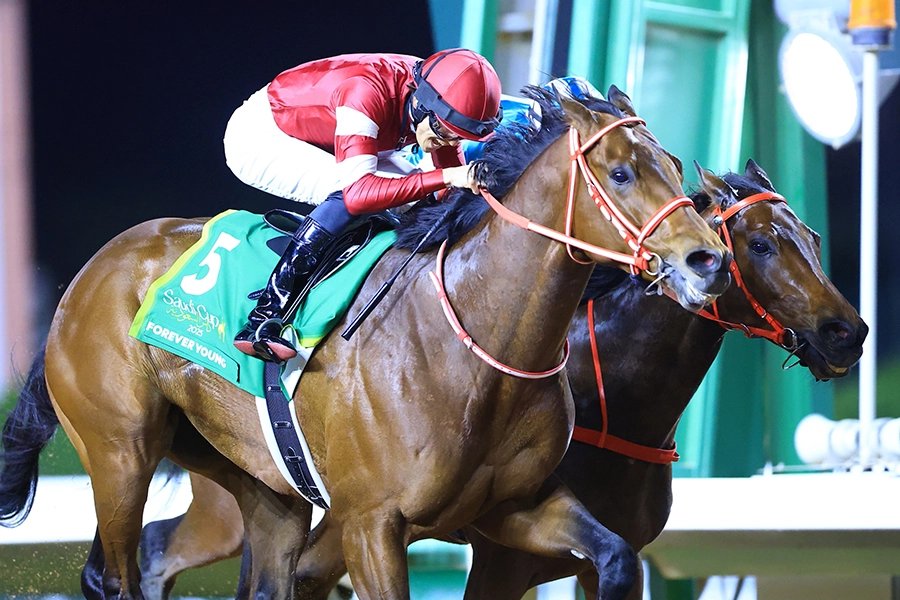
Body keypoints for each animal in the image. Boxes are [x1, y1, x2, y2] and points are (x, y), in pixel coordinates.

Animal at [0, 86, 732, 599]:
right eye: (621, 173)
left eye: (674, 168)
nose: (708, 260)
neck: (479, 347)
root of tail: (93, 271)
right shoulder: (374, 524)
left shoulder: (514, 508)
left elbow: (615, 558)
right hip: (120, 451)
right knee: (114, 573)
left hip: (261, 485)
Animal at [132, 158, 865, 600]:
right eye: (761, 244)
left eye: (813, 238)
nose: (846, 332)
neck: (615, 405)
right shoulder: (498, 556)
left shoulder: (601, 557)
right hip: (240, 506)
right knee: (160, 547)